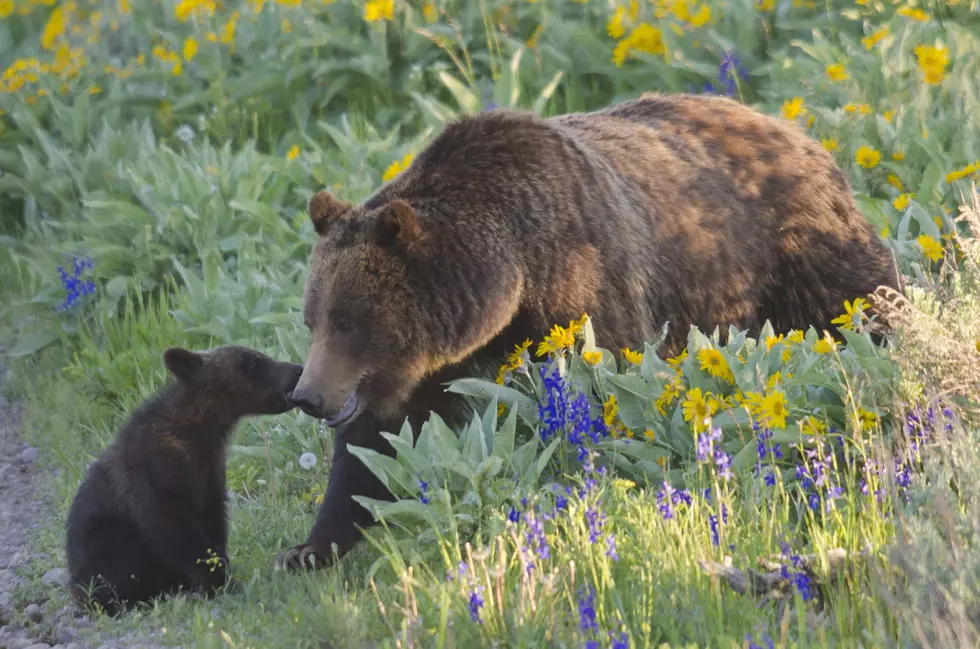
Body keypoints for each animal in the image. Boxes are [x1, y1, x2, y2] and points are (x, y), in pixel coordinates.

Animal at [66, 345, 303, 615]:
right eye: (252, 361)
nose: (298, 369)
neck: (197, 431)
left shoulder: (210, 475)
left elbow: (214, 520)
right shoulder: (148, 476)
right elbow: (171, 529)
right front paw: (218, 580)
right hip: (102, 542)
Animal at [275, 91, 902, 571]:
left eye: (349, 322)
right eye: (313, 319)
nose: (307, 395)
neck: (513, 277)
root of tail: (795, 130)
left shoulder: (585, 286)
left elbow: (602, 392)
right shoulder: (425, 368)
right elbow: (372, 448)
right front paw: (309, 547)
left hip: (797, 255)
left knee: (865, 302)